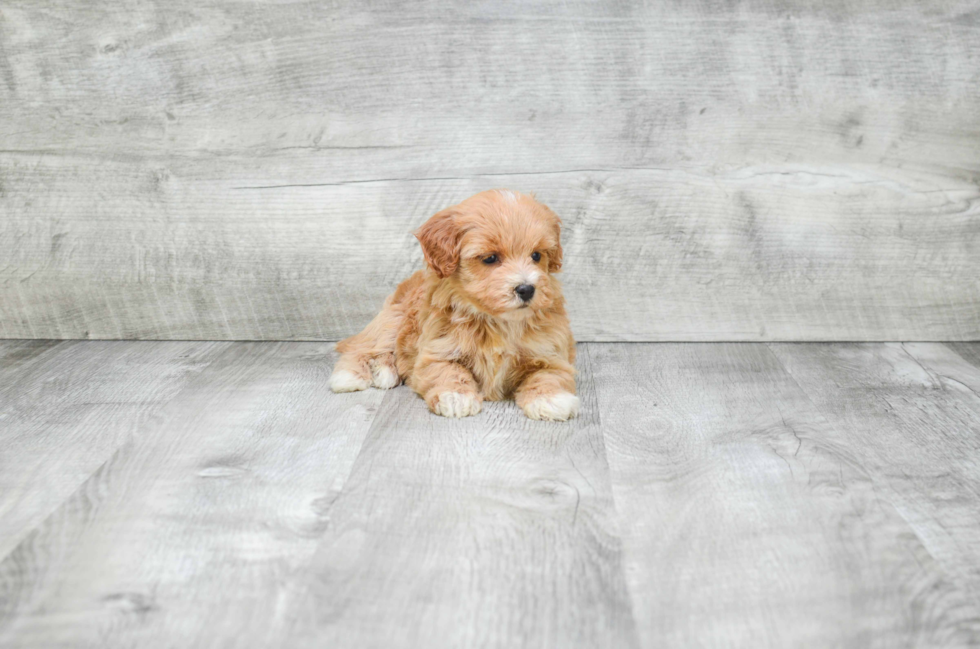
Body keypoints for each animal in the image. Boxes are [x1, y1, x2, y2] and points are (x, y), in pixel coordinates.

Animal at [330, 187, 580, 420]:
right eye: (490, 258)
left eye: (537, 255)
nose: (526, 289)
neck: (497, 322)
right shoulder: (435, 351)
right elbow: (448, 371)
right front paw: (455, 396)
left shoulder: (552, 352)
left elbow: (550, 375)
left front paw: (551, 399)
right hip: (392, 318)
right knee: (363, 347)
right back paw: (353, 375)